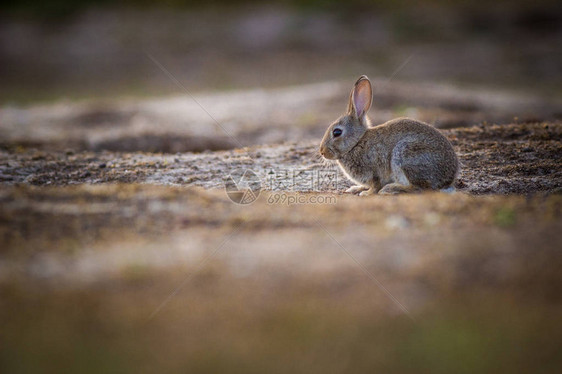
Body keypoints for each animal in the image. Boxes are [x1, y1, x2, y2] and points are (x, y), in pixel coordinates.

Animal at [318, 74, 458, 194]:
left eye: (337, 132)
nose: (322, 151)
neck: (357, 143)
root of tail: (448, 178)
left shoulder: (374, 171)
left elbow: (375, 185)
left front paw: (366, 193)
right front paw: (355, 188)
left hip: (405, 154)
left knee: (421, 188)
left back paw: (390, 188)